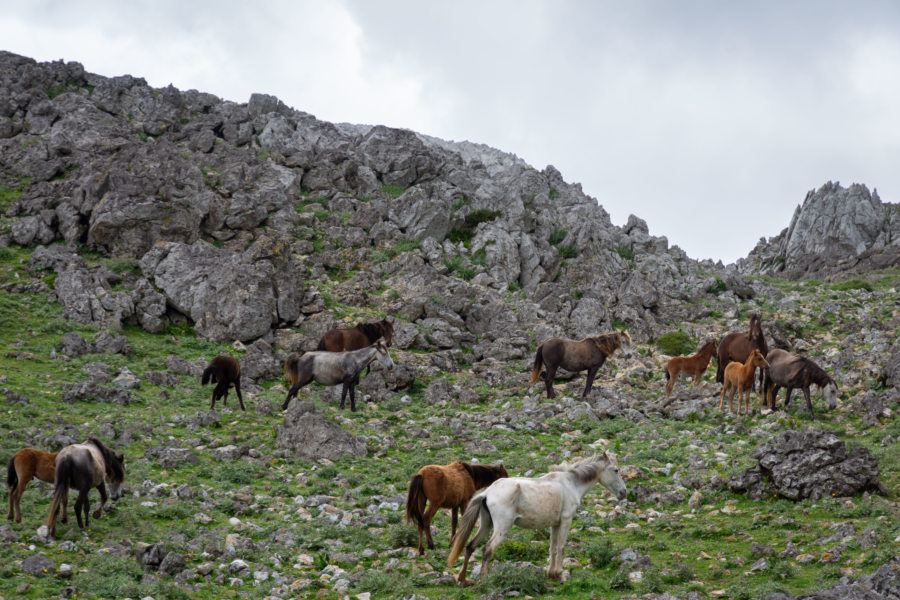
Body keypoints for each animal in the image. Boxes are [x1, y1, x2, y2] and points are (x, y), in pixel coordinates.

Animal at [448, 453, 626, 585]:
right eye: (616, 470)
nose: (623, 492)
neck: (571, 483)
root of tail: (487, 492)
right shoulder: (566, 521)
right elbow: (561, 546)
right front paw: (560, 575)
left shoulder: (555, 524)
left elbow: (553, 548)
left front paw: (552, 574)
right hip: (502, 528)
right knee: (487, 549)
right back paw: (484, 580)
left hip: (486, 525)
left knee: (470, 546)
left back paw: (463, 579)